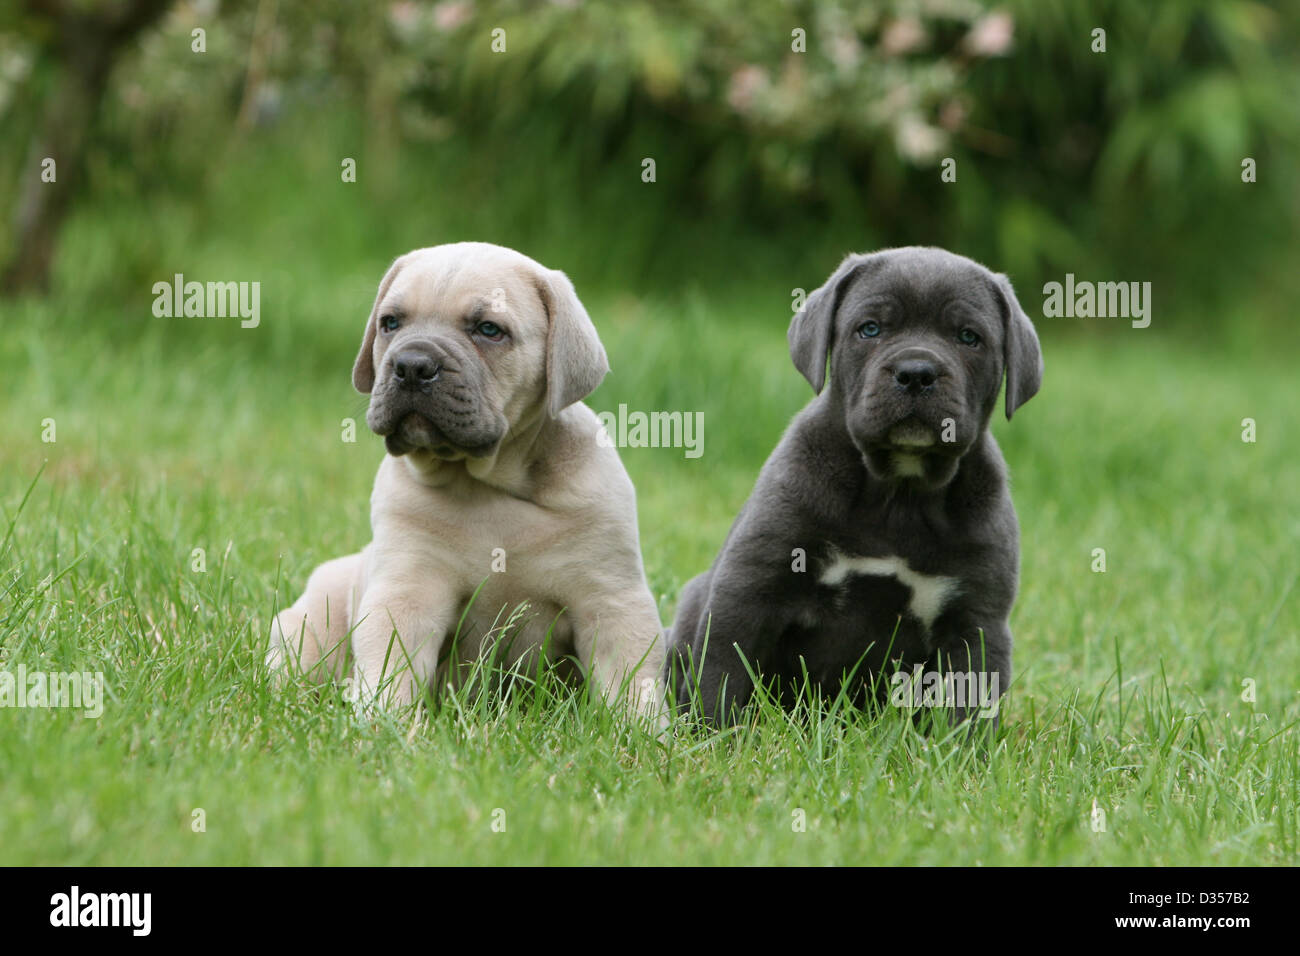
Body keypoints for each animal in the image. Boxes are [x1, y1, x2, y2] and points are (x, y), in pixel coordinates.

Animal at [665, 247, 1040, 723]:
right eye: (870, 329)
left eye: (969, 337)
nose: (916, 372)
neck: (899, 492)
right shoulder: (750, 589)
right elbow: (721, 674)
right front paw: (710, 735)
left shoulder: (975, 623)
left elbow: (966, 710)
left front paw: (963, 745)